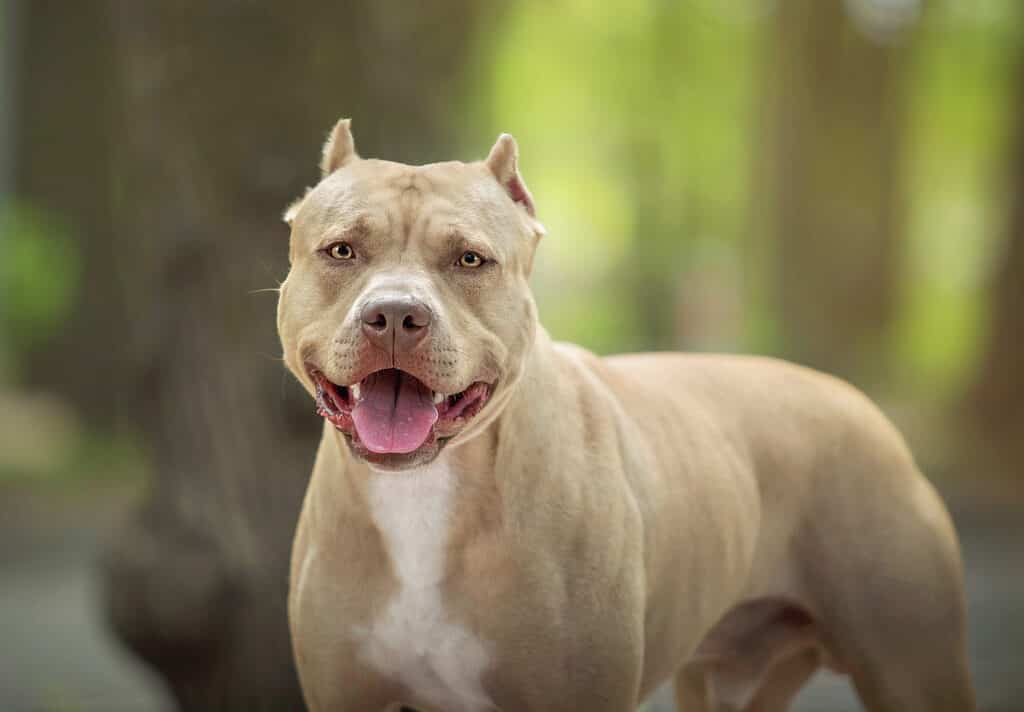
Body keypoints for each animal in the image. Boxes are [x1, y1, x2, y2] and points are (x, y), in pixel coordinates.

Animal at [274, 119, 974, 708]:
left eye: (471, 259)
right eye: (341, 251)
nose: (395, 314)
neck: (426, 492)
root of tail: (858, 402)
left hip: (914, 669)